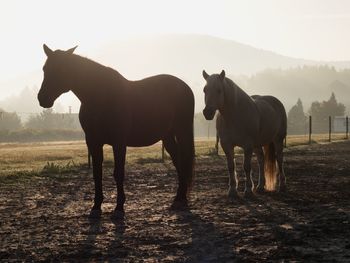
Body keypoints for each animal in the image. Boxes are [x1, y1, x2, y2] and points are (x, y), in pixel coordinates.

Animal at [39, 44, 196, 219]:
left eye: (62, 69)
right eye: (45, 68)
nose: (42, 98)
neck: (101, 97)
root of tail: (184, 87)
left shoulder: (119, 142)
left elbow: (118, 173)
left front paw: (119, 208)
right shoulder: (93, 142)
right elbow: (97, 173)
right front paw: (96, 207)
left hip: (182, 131)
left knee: (184, 160)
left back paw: (181, 200)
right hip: (167, 136)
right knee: (178, 161)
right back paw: (178, 199)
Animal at [202, 70, 288, 198]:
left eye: (219, 90)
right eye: (205, 89)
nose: (207, 112)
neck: (234, 116)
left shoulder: (247, 146)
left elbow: (246, 167)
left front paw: (247, 190)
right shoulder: (227, 145)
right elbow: (231, 166)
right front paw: (232, 190)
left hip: (278, 140)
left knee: (279, 159)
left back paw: (282, 186)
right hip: (258, 144)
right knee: (261, 160)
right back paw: (260, 186)